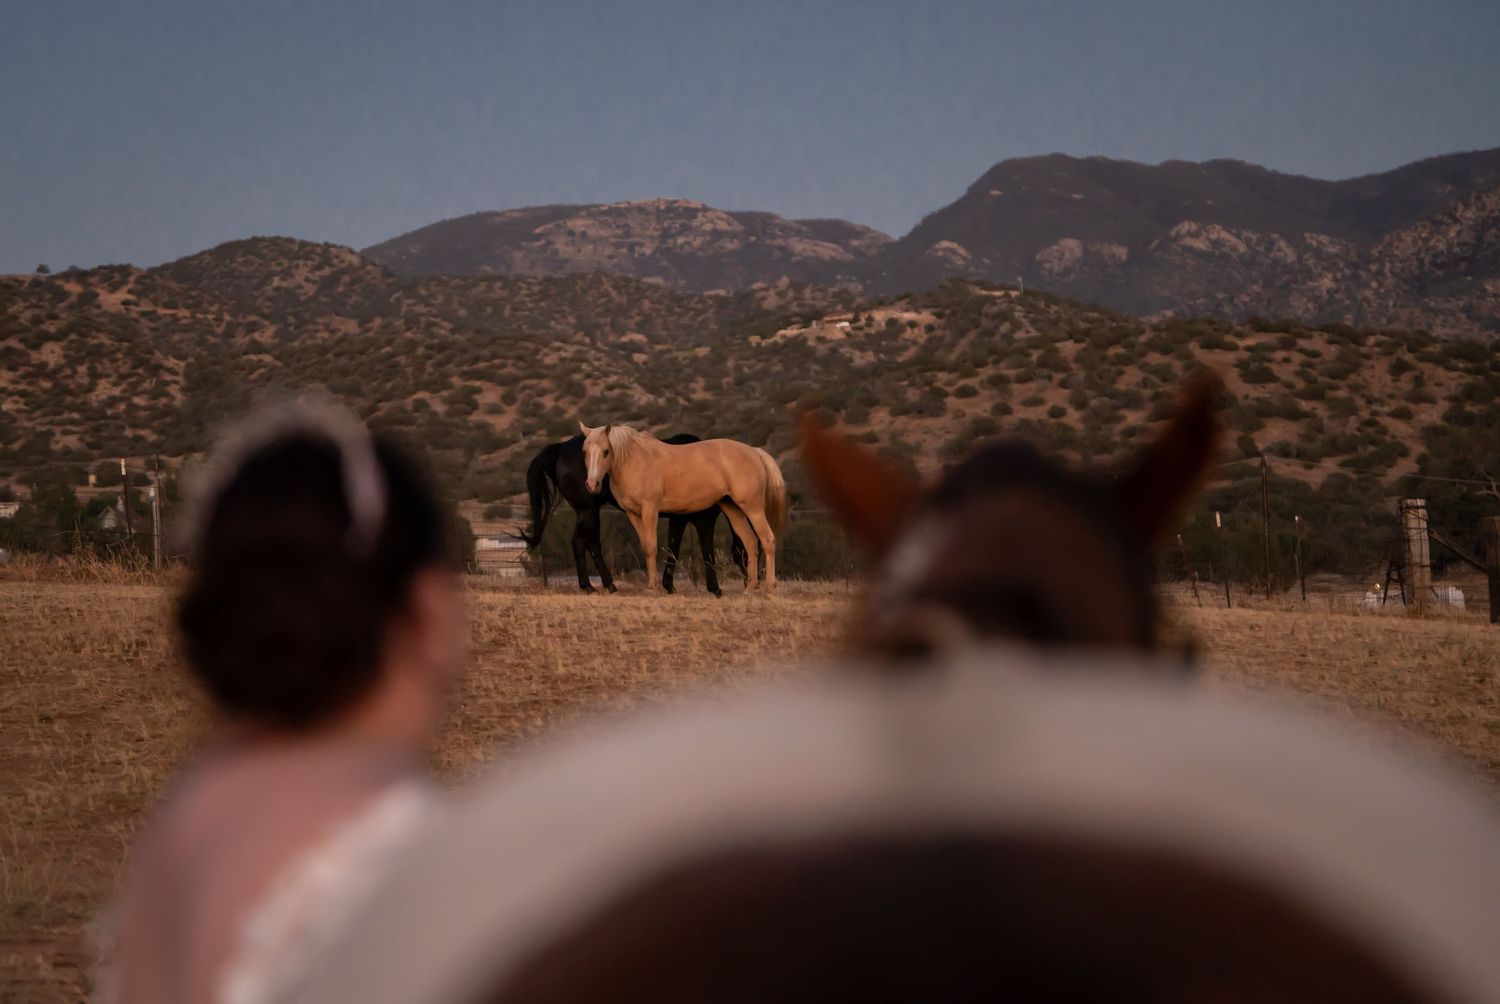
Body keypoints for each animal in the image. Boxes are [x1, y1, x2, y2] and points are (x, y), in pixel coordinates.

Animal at [519, 434, 747, 596]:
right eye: (745, 551)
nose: (750, 581)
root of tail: (561, 448)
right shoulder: (703, 519)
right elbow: (707, 551)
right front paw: (715, 588)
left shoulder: (678, 518)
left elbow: (673, 547)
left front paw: (668, 585)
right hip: (587, 511)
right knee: (579, 543)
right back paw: (588, 586)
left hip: (590, 512)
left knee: (593, 545)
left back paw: (609, 585)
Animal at [579, 423, 787, 592]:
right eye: (584, 452)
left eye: (606, 451)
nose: (592, 484)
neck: (635, 461)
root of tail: (755, 452)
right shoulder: (633, 515)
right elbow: (645, 547)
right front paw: (651, 585)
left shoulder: (650, 510)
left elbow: (652, 547)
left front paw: (653, 588)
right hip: (733, 509)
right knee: (750, 542)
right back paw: (750, 588)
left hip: (753, 509)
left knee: (767, 539)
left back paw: (769, 586)